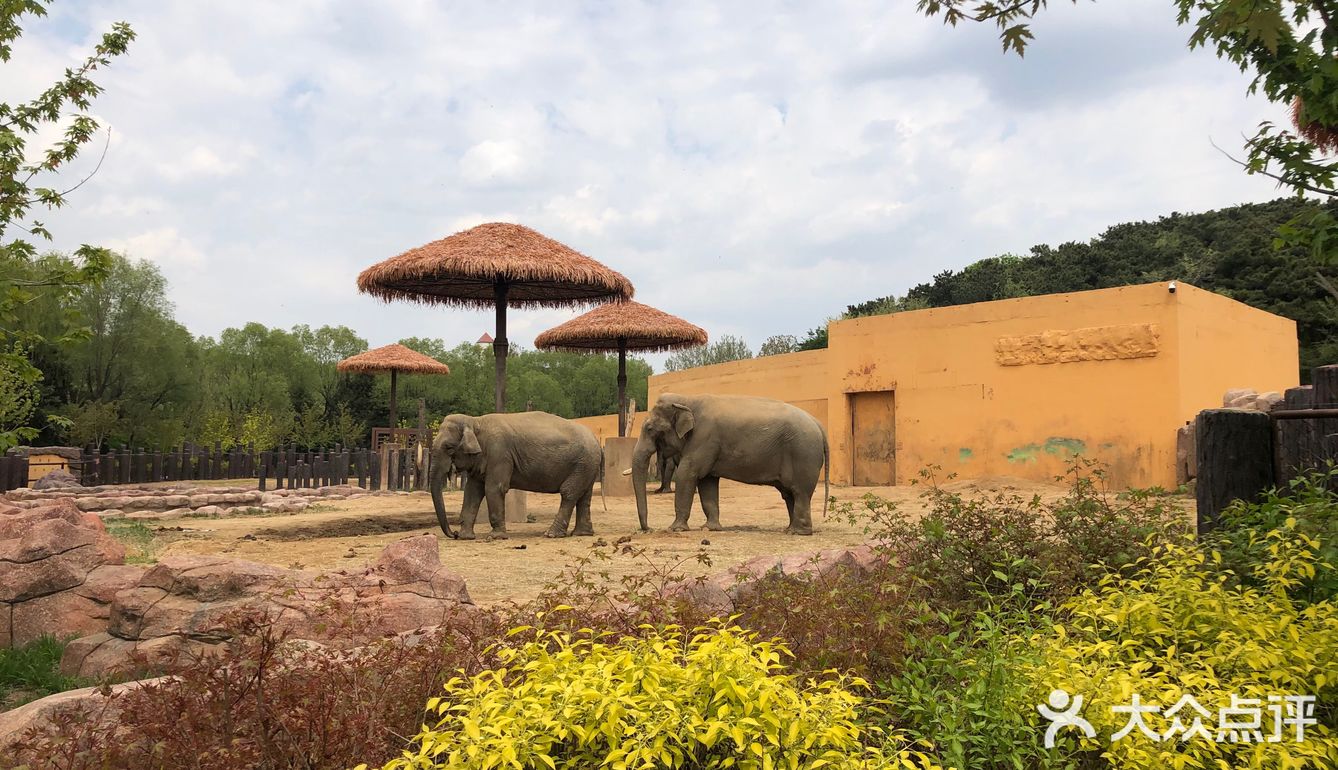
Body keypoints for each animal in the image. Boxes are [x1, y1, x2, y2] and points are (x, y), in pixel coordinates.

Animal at [428, 409, 602, 541]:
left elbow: (494, 488)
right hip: (587, 465)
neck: (475, 421)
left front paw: (495, 537)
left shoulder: (499, 453)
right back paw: (582, 534)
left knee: (569, 493)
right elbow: (472, 491)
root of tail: (597, 441)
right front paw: (466, 537)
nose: (454, 534)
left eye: (449, 448)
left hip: (583, 463)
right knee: (584, 496)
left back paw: (551, 534)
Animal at [628, 393, 824, 532]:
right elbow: (707, 482)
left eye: (649, 429)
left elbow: (687, 473)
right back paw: (789, 529)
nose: (648, 529)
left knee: (799, 492)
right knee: (788, 493)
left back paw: (797, 532)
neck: (688, 399)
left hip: (804, 455)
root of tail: (818, 423)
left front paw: (674, 529)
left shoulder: (704, 438)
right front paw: (710, 528)